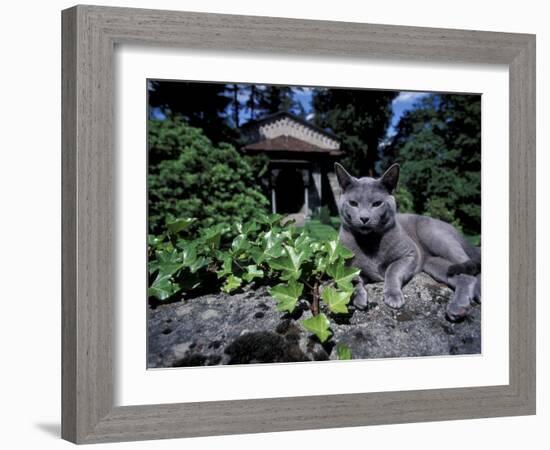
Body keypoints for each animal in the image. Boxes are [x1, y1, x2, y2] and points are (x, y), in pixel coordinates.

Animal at [334, 162, 480, 320]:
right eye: (353, 203)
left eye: (377, 203)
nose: (364, 218)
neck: (369, 242)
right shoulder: (346, 267)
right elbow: (349, 280)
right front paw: (359, 298)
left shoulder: (409, 254)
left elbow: (392, 271)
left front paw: (393, 296)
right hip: (435, 264)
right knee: (463, 276)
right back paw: (460, 308)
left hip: (435, 236)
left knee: (470, 271)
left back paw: (462, 304)